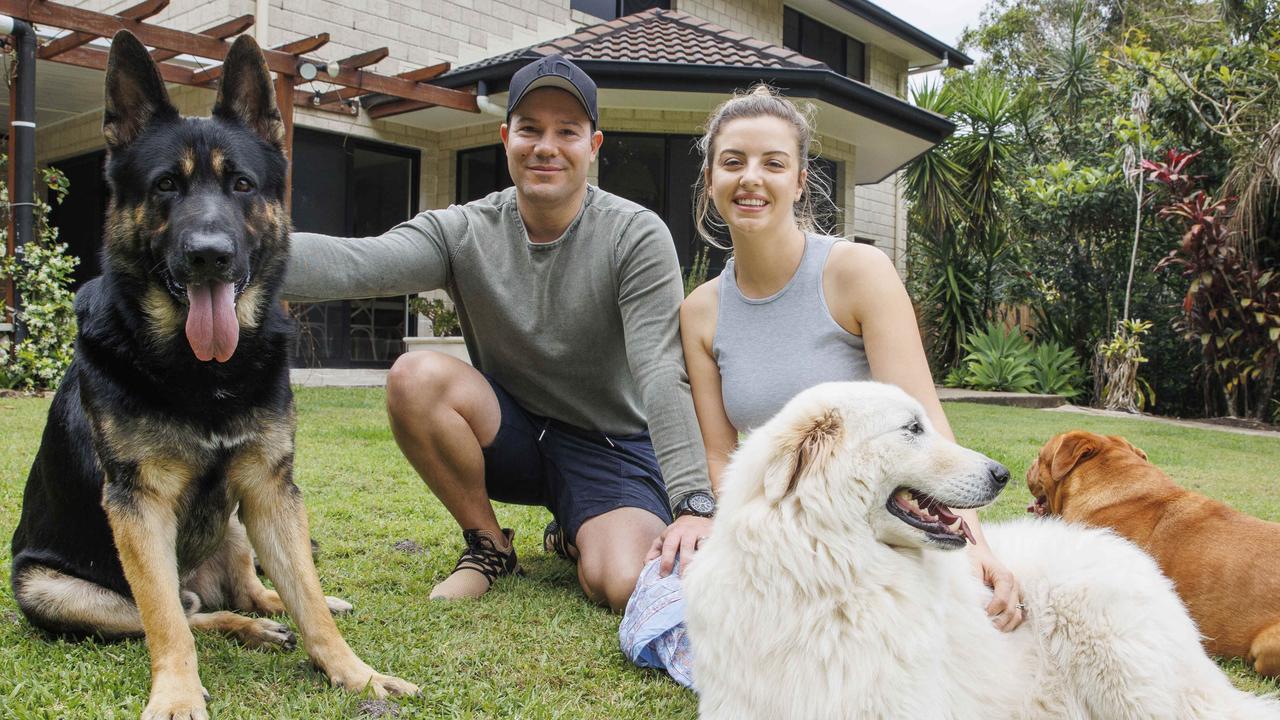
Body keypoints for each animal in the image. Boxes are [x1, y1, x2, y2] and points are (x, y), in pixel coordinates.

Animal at [11, 30, 419, 712]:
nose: (209, 255)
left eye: (243, 185)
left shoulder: (269, 487)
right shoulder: (138, 507)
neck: (203, 375)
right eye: (165, 187)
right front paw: (178, 695)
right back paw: (247, 627)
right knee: (192, 610)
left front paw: (354, 673)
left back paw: (274, 613)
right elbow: (166, 621)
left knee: (254, 590)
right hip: (48, 588)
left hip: (233, 517)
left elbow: (309, 599)